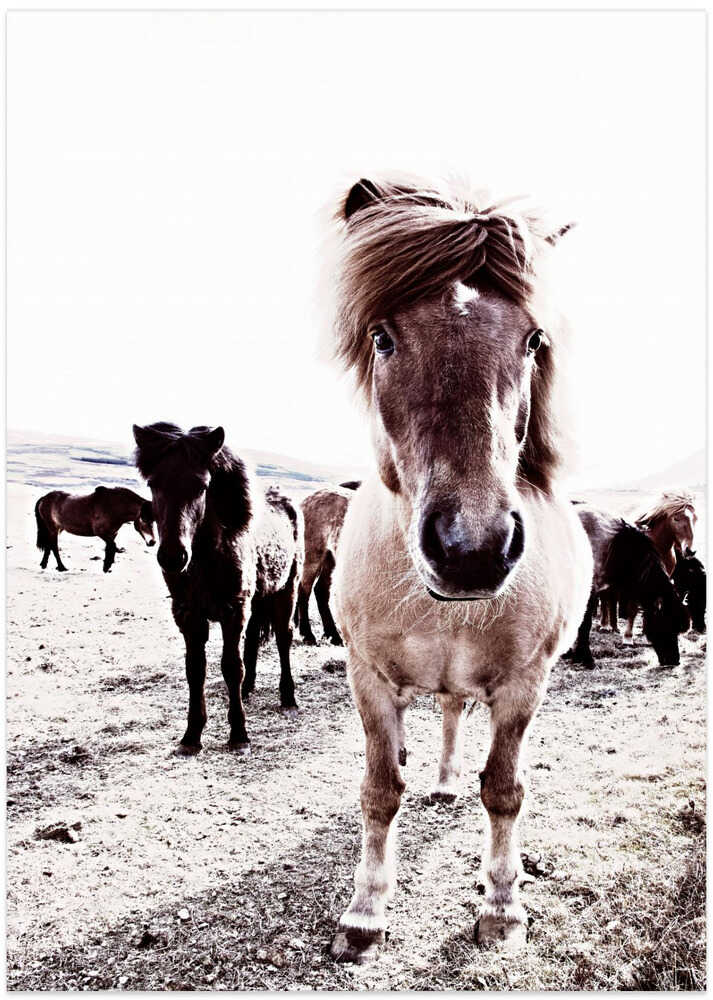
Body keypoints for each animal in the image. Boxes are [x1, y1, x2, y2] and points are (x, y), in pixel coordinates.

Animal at [133, 422, 303, 755]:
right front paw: (191, 735)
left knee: (283, 638)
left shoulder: (232, 610)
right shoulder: (188, 615)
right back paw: (248, 689)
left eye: (202, 487)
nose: (172, 557)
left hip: (285, 591)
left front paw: (239, 734)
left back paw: (288, 697)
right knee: (253, 639)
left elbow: (230, 667)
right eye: (153, 484)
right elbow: (195, 669)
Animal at [295, 486, 355, 646]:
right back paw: (307, 635)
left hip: (330, 559)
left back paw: (333, 635)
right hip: (312, 557)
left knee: (320, 591)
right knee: (304, 591)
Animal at [325, 176, 593, 962]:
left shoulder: (523, 685)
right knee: (443, 715)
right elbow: (379, 789)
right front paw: (365, 913)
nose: (471, 547)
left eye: (532, 340)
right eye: (382, 337)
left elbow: (504, 790)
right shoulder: (368, 678)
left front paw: (503, 906)